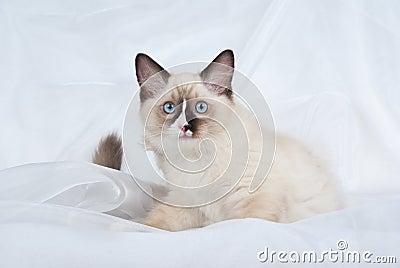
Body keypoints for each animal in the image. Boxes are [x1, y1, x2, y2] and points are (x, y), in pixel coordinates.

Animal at [93, 49, 340, 231]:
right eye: (170, 108)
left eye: (201, 108)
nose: (185, 126)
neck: (197, 162)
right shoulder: (185, 203)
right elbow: (153, 224)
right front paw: (121, 228)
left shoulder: (252, 199)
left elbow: (249, 223)